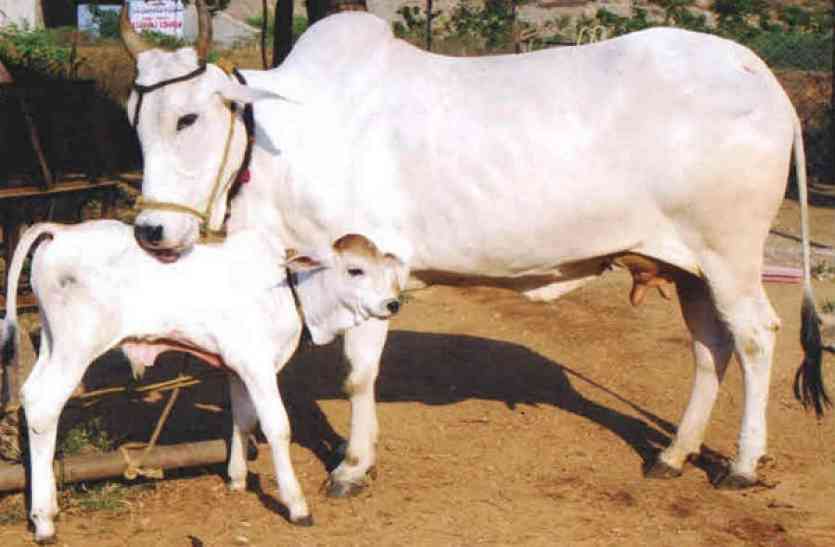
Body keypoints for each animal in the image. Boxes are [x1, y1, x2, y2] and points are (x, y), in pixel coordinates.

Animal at [0, 220, 405, 543]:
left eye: (386, 270)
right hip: (77, 346)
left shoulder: (237, 368)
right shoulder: (258, 365)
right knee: (44, 406)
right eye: (355, 270)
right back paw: (44, 521)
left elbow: (244, 419)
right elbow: (278, 427)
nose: (392, 304)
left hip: (53, 342)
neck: (289, 289)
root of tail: (62, 231)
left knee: (30, 396)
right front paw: (297, 505)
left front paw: (237, 480)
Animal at [118, 2, 826, 500]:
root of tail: (757, 72)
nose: (151, 232)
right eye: (134, 118)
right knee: (711, 349)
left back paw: (741, 464)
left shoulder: (369, 260)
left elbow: (358, 373)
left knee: (756, 338)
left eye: (188, 118)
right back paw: (674, 454)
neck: (282, 138)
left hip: (731, 255)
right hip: (689, 269)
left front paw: (353, 467)